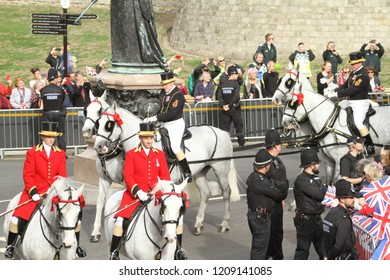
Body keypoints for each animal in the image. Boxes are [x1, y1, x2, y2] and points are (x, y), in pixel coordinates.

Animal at [81, 91, 125, 242]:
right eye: (86, 110)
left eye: (99, 111)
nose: (86, 130)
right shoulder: (103, 179)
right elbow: (100, 202)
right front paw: (95, 231)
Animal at [95, 101, 241, 235]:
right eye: (97, 123)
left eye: (109, 124)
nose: (98, 147)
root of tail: (222, 132)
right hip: (200, 172)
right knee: (206, 193)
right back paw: (198, 224)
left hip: (221, 170)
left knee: (226, 192)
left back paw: (224, 224)